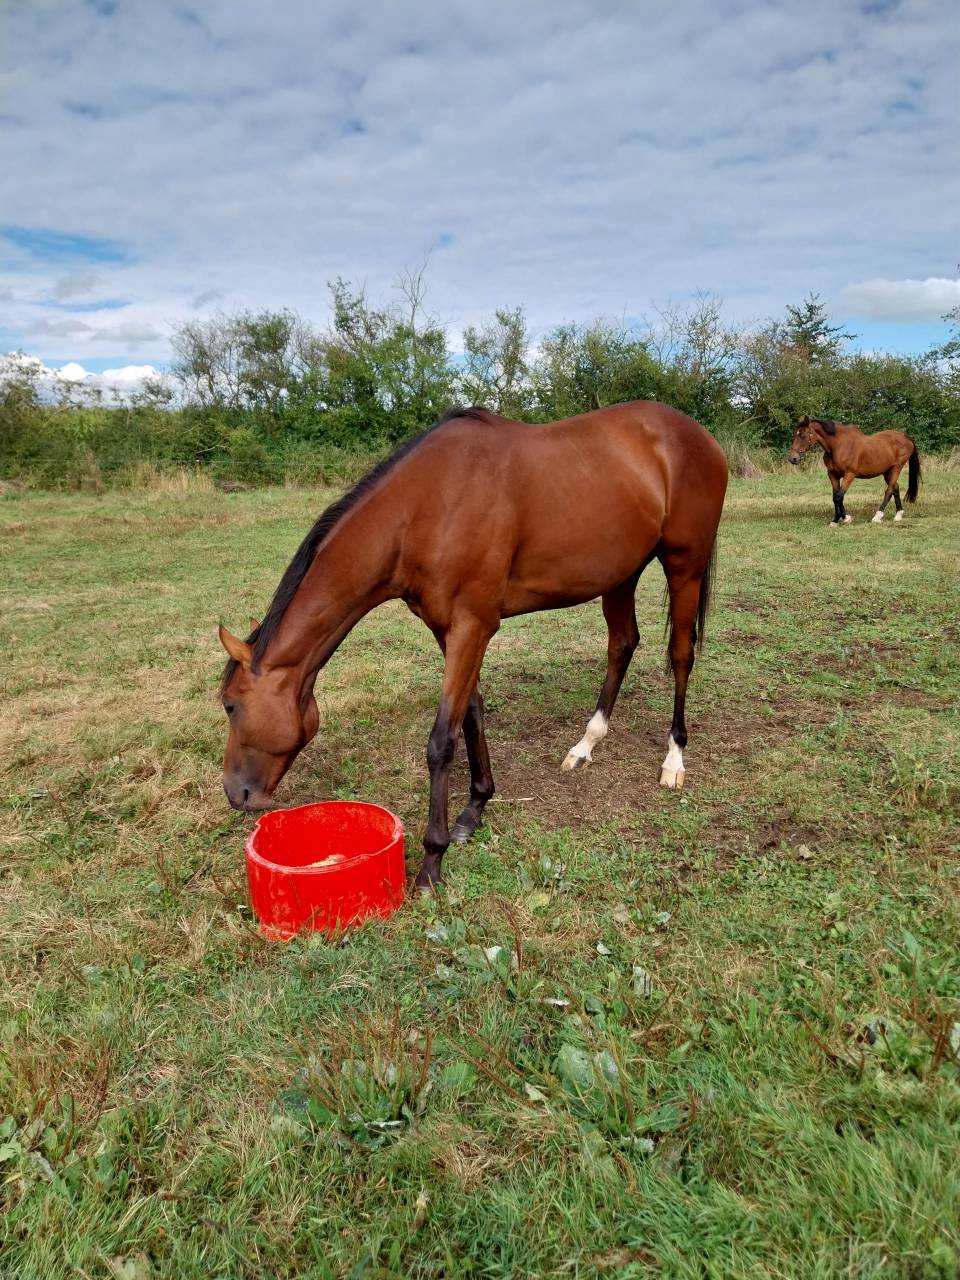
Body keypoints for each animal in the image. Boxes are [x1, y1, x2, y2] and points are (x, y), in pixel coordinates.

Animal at [218, 401, 728, 889]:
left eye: (229, 705)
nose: (236, 794)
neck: (423, 510)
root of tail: (700, 437)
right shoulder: (450, 631)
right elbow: (472, 715)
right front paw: (474, 809)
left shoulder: (472, 627)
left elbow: (442, 740)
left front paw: (432, 860)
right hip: (622, 573)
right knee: (622, 645)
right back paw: (585, 745)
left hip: (684, 565)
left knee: (681, 654)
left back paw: (673, 758)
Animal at [788, 416, 920, 526]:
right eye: (794, 435)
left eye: (803, 436)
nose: (793, 458)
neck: (838, 446)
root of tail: (905, 436)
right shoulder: (833, 475)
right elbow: (835, 497)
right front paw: (838, 519)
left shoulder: (849, 474)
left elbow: (839, 496)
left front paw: (843, 518)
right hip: (887, 471)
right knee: (895, 488)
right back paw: (898, 515)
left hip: (897, 468)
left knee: (889, 491)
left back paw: (877, 517)